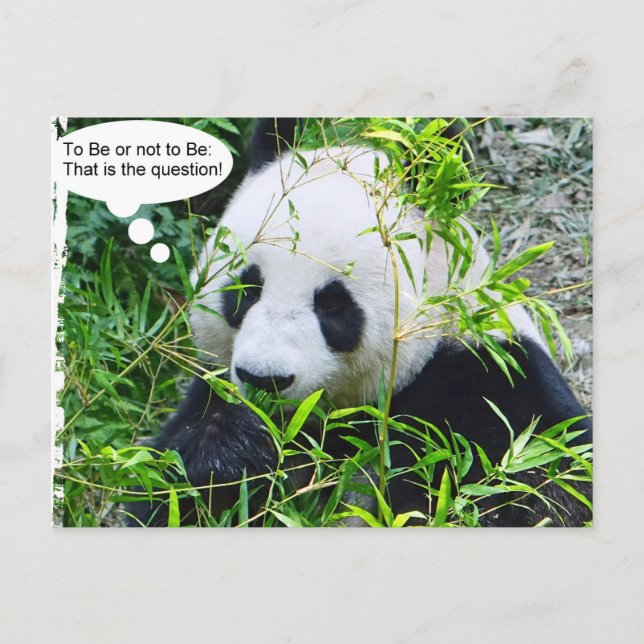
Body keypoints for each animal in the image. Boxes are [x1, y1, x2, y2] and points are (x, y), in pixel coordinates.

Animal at [127, 118, 592, 528]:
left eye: (333, 305)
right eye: (247, 289)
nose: (265, 379)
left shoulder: (488, 385)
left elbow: (529, 490)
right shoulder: (215, 395)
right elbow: (178, 482)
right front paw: (237, 449)